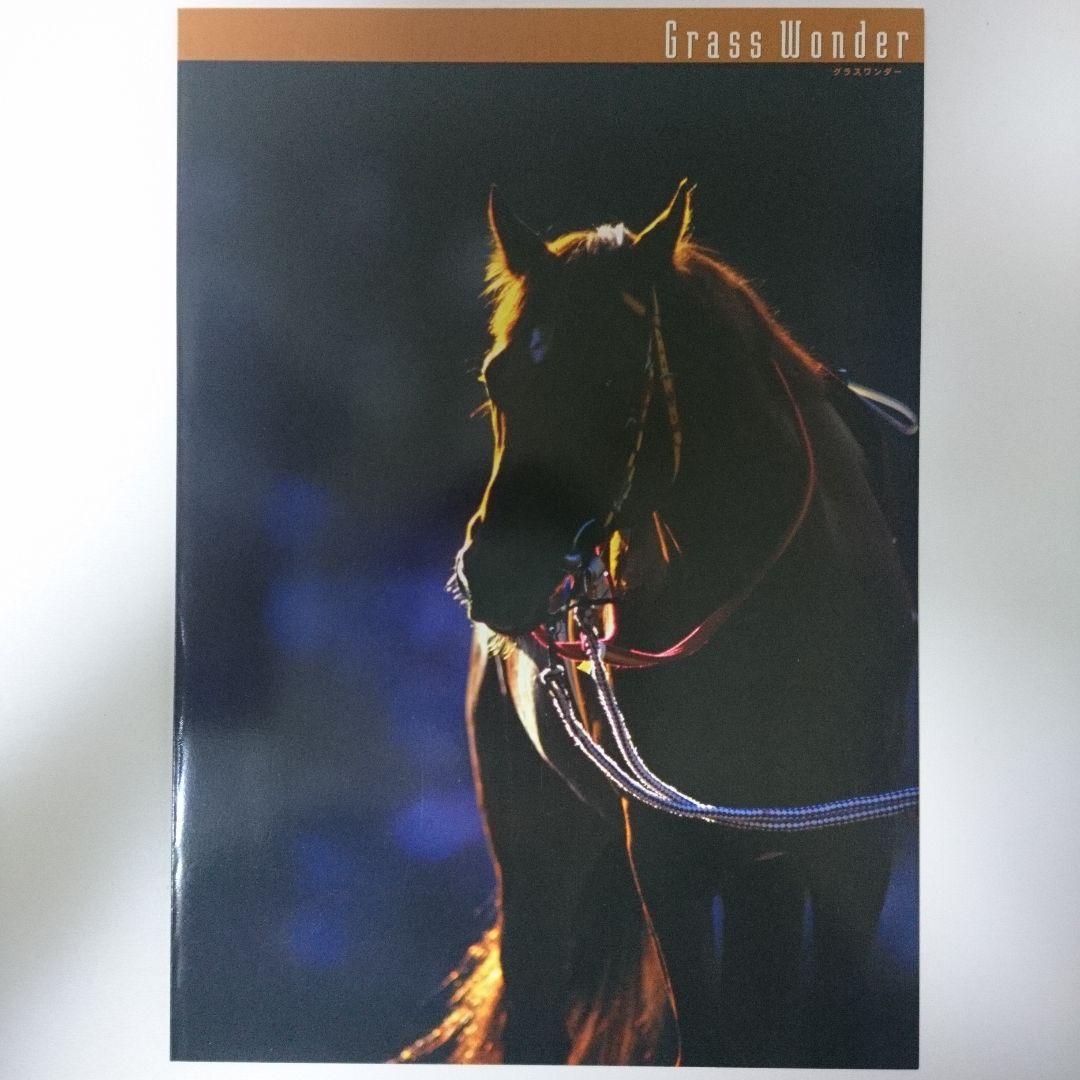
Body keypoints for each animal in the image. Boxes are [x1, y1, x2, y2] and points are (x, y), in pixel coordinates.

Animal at [400, 181, 917, 1066]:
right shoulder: (669, 851)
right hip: (539, 856)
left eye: (615, 377)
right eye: (498, 377)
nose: (497, 573)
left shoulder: (851, 849)